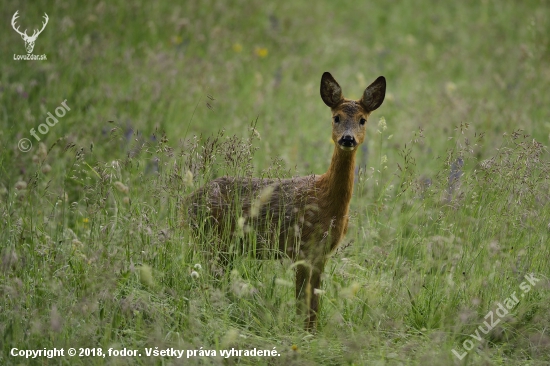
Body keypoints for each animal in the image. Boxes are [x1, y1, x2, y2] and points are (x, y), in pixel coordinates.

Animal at [187, 71, 388, 328]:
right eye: (336, 117)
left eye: (363, 120)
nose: (347, 139)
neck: (326, 202)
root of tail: (185, 203)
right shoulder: (300, 247)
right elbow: (302, 301)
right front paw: (301, 332)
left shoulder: (321, 254)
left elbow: (314, 304)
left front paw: (311, 332)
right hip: (212, 239)